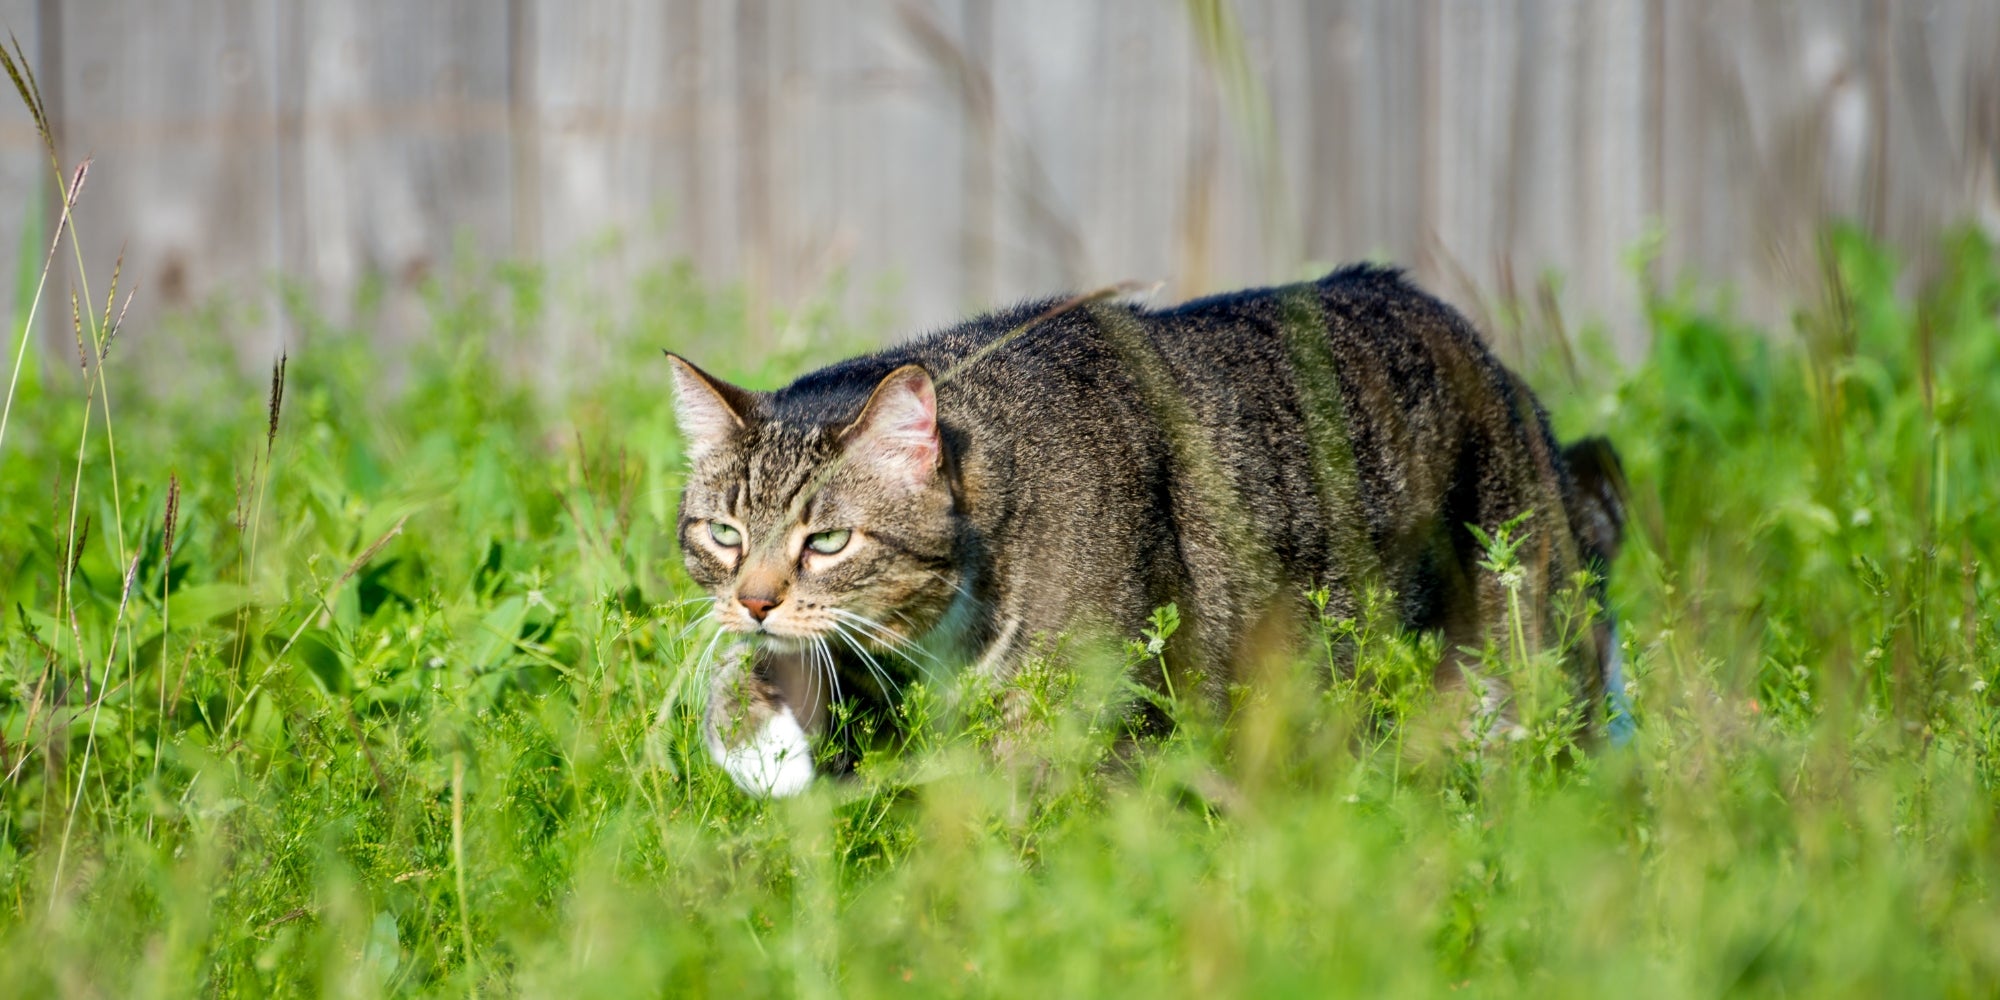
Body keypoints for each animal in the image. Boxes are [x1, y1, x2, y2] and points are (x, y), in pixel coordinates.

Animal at [668, 266, 1624, 796]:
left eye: (827, 543)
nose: (754, 601)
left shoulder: (1083, 717)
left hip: (1524, 658)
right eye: (721, 534)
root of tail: (1493, 360)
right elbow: (757, 672)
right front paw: (754, 737)